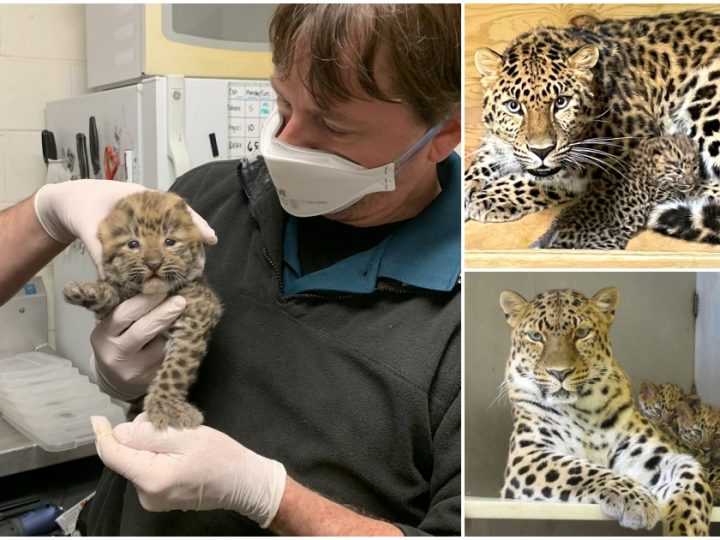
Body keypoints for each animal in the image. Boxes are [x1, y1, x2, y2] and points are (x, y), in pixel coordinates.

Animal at [464, 10, 720, 245]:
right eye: (514, 106)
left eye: (561, 102)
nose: (541, 151)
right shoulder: (497, 144)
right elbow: (477, 168)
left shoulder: (633, 145)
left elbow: (550, 178)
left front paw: (491, 197)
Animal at [498, 286, 712, 536]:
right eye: (535, 336)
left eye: (582, 332)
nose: (559, 373)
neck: (581, 410)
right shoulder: (528, 454)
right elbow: (580, 468)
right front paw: (636, 499)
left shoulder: (656, 456)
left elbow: (692, 476)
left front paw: (689, 528)